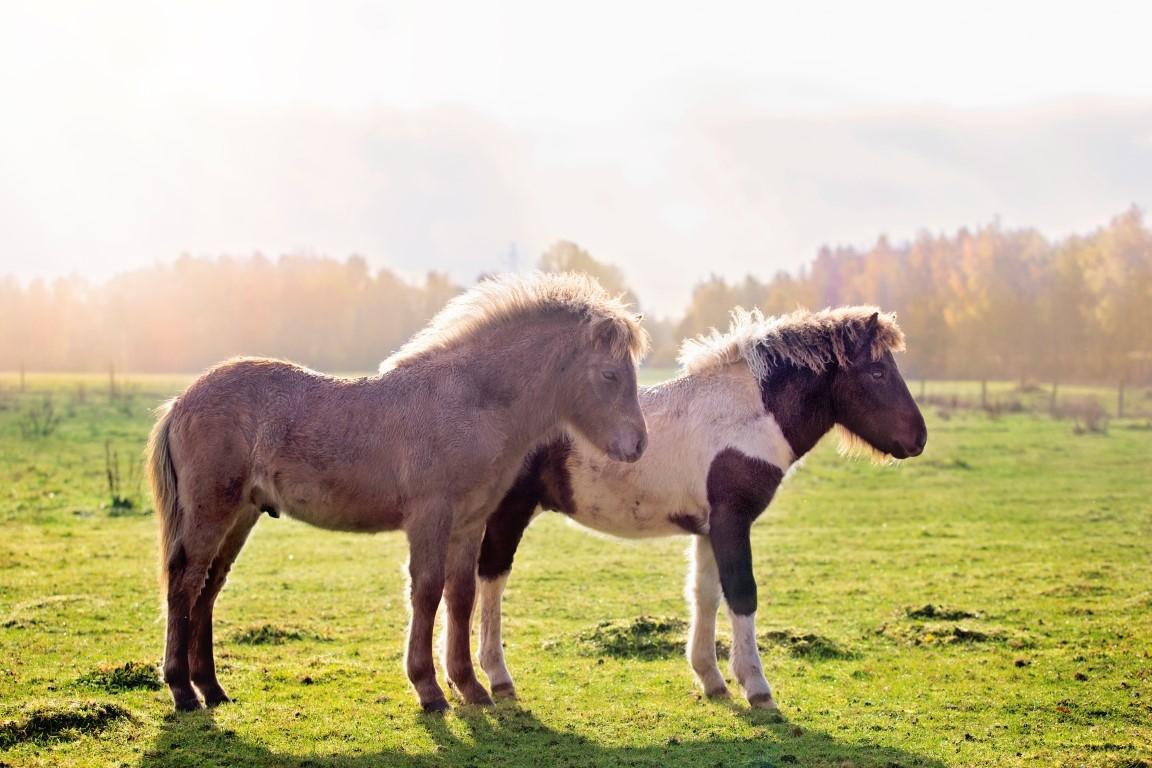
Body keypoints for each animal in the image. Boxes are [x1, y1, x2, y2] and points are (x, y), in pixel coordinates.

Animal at [146, 272, 649, 713]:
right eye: (609, 375)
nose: (638, 445)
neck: (471, 400)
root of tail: (180, 402)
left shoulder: (469, 522)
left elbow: (461, 594)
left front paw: (470, 687)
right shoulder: (430, 515)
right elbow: (426, 590)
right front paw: (429, 690)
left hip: (241, 515)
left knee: (209, 587)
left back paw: (212, 688)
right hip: (212, 510)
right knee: (185, 581)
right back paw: (182, 691)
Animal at [467, 303, 926, 709]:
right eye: (877, 372)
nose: (919, 438)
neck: (746, 416)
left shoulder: (709, 528)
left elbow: (705, 594)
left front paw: (712, 679)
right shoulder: (732, 521)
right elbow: (741, 593)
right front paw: (757, 687)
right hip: (509, 512)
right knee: (491, 577)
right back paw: (497, 678)